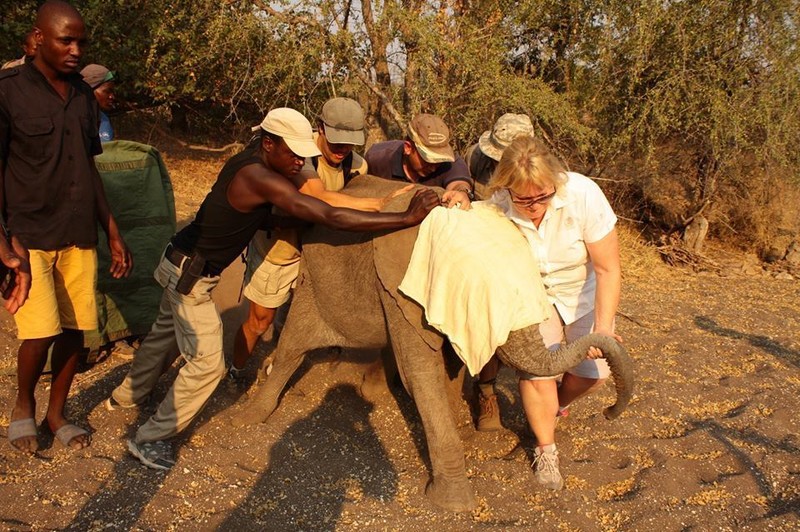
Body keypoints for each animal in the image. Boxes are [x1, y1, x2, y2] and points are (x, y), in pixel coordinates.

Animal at [230, 175, 632, 512]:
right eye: (490, 297)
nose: (609, 413)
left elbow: (449, 368)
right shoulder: (400, 287)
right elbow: (420, 373)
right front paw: (454, 504)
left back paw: (371, 392)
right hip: (315, 280)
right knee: (293, 347)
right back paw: (252, 418)